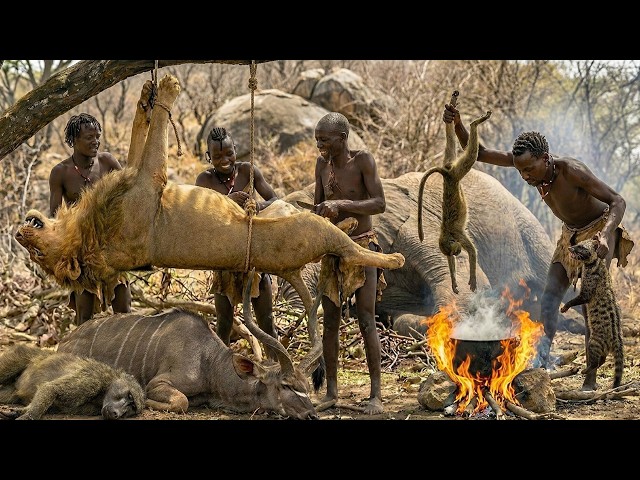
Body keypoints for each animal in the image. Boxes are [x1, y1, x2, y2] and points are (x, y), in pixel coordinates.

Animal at [14, 74, 405, 332]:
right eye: (39, 257)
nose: (19, 235)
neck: (87, 234)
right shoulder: (149, 180)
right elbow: (155, 140)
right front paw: (168, 87)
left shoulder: (133, 175)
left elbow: (139, 139)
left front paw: (146, 95)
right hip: (308, 230)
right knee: (351, 249)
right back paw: (390, 257)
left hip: (292, 215)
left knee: (327, 224)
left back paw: (349, 221)